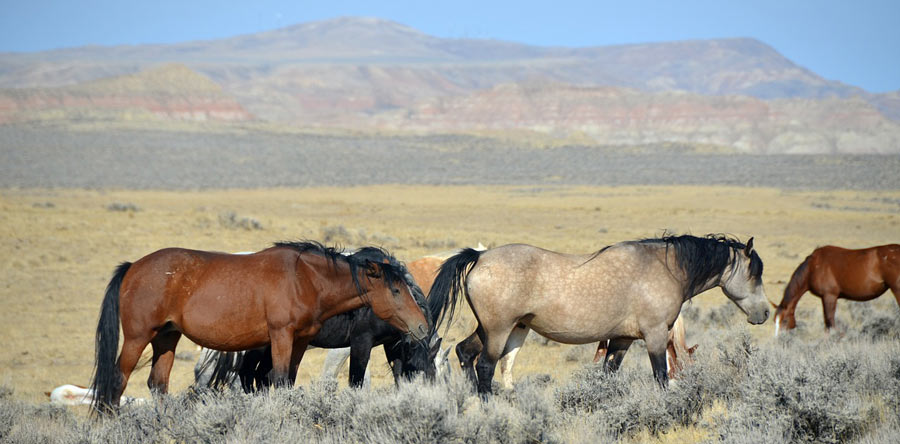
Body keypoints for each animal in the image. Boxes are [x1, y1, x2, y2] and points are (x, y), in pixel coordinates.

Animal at [428, 234, 768, 394]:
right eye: (755, 272)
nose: (764, 313)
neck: (665, 268)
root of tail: (481, 256)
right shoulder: (656, 336)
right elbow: (661, 376)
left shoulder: (621, 340)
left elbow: (608, 376)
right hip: (499, 331)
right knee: (485, 366)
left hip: (492, 329)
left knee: (464, 352)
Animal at [772, 245, 900, 334]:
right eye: (774, 321)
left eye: (784, 321)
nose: (779, 340)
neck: (813, 268)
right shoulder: (826, 298)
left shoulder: (830, 296)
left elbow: (830, 322)